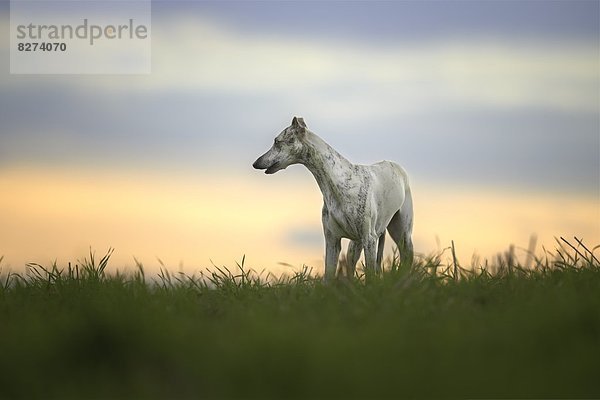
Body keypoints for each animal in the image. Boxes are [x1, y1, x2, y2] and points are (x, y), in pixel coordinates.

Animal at [252, 115, 412, 278]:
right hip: (355, 245)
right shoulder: (332, 240)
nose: (255, 163)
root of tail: (396, 165)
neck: (337, 183)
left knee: (407, 258)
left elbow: (370, 276)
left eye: (277, 141)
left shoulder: (369, 239)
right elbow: (328, 275)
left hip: (402, 234)